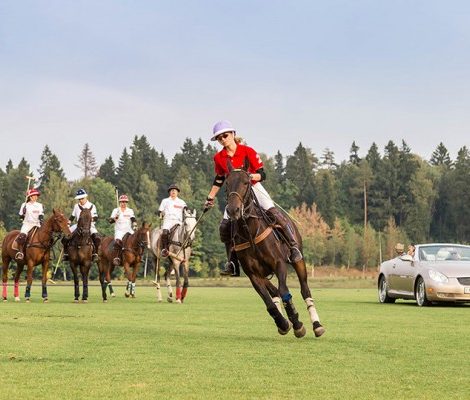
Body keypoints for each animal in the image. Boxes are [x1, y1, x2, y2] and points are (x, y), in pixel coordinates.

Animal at [224, 162, 324, 338]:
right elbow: (269, 302)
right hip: (264, 274)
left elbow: (284, 290)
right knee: (274, 292)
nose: (233, 210)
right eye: (227, 184)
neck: (250, 232)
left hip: (299, 260)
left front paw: (296, 323)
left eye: (246, 182)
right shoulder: (253, 274)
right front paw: (283, 323)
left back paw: (317, 325)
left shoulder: (279, 263)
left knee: (304, 290)